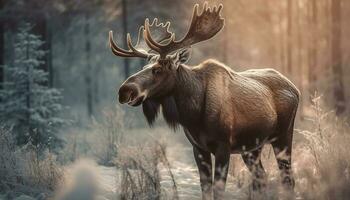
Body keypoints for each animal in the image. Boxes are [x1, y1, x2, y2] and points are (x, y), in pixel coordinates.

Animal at [108, 2, 298, 199]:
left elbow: (218, 189)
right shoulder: (198, 148)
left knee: (288, 178)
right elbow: (205, 187)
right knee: (261, 178)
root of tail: (295, 88)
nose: (124, 91)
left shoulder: (223, 146)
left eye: (158, 69)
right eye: (144, 66)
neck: (193, 114)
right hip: (253, 148)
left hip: (283, 136)